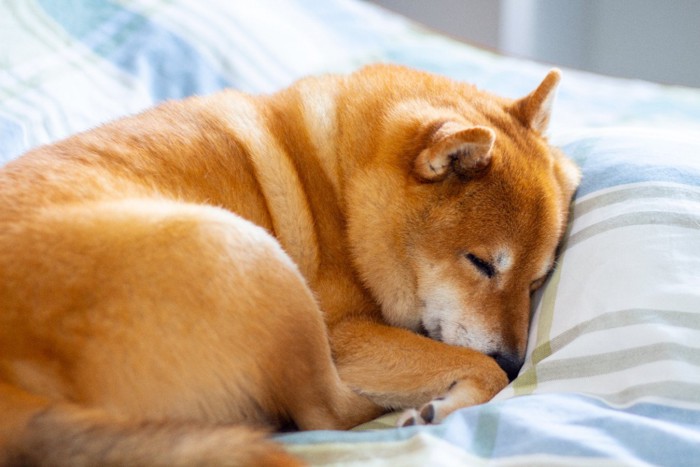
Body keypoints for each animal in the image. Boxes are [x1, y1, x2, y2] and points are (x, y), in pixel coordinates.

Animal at [0, 64, 580, 466]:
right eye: (481, 264)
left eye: (535, 280)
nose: (516, 360)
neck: (340, 185)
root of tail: (15, 395)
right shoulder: (345, 334)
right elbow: (479, 370)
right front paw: (454, 398)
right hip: (253, 258)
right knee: (327, 413)